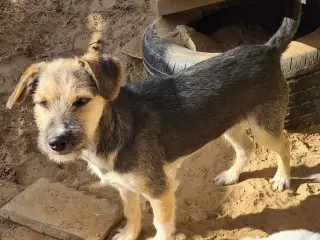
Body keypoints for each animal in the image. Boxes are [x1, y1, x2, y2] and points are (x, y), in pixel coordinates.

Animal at [7, 0, 302, 239]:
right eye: (41, 104)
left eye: (81, 101)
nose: (56, 142)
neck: (111, 132)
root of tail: (267, 49)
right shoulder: (125, 187)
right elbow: (131, 214)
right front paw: (129, 235)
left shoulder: (160, 191)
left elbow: (161, 225)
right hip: (228, 124)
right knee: (246, 148)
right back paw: (231, 175)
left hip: (263, 126)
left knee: (283, 145)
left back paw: (282, 178)